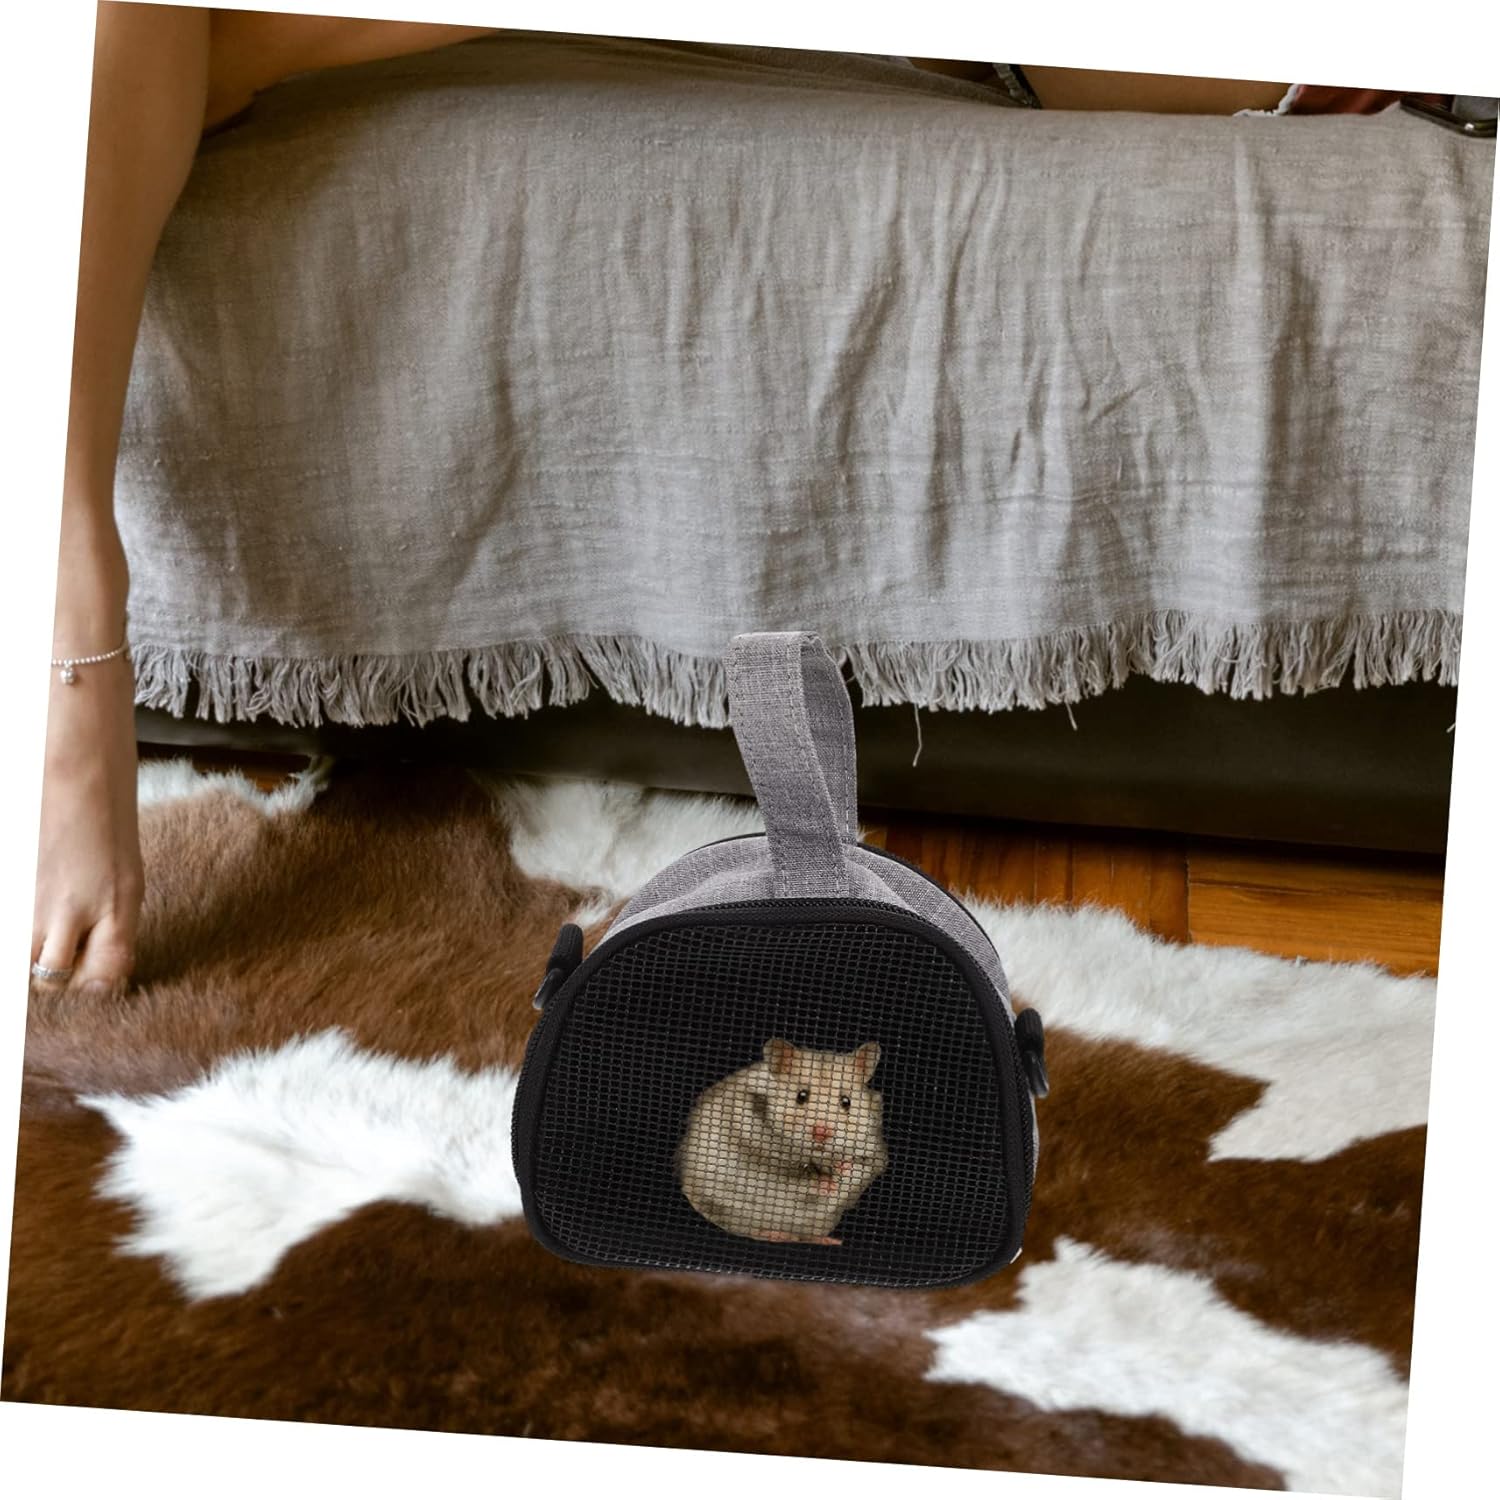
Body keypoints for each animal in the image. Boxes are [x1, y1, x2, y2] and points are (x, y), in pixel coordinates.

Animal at [676, 1037, 889, 1245]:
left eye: (846, 1101)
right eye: (801, 1096)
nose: (821, 1132)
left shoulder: (875, 1154)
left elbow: (859, 1172)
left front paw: (844, 1167)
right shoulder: (759, 1149)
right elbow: (795, 1176)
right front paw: (826, 1183)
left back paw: (826, 1240)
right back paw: (775, 1235)